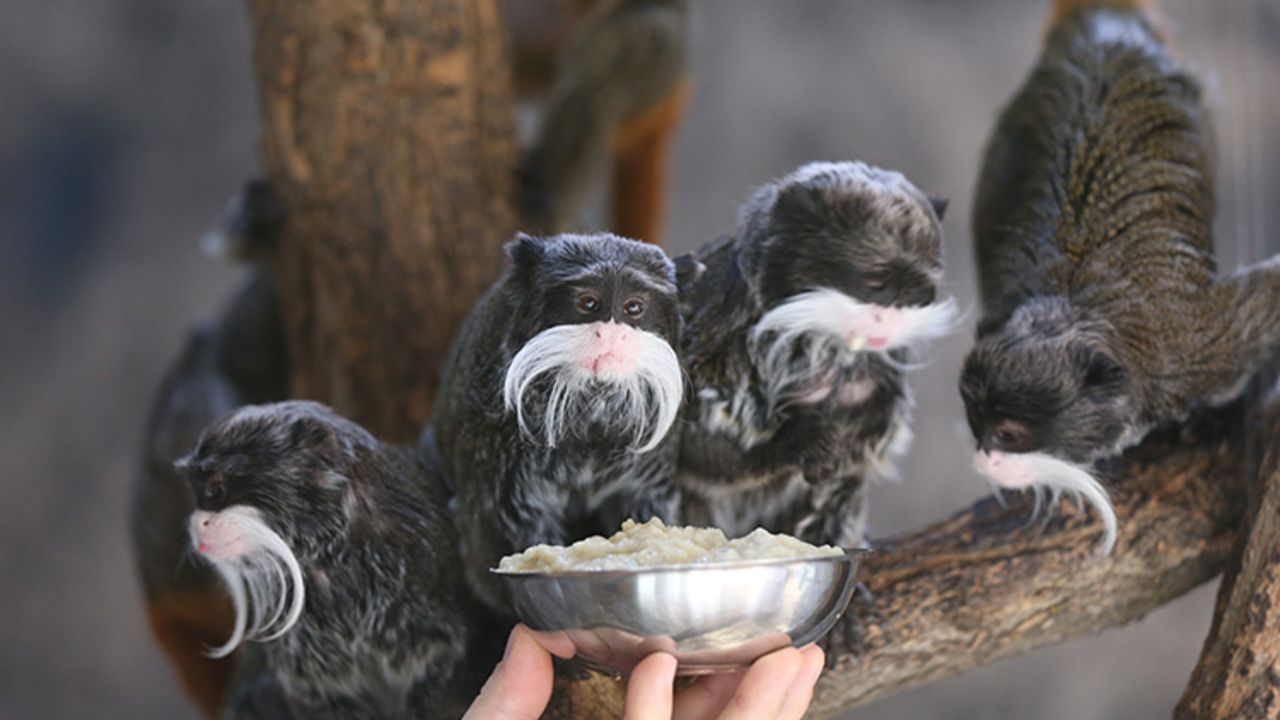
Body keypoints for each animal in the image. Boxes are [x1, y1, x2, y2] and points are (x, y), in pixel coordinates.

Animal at [432, 230, 691, 609]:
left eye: (633, 308)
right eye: (588, 302)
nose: (610, 335)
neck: (592, 406)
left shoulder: (649, 467)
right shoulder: (498, 467)